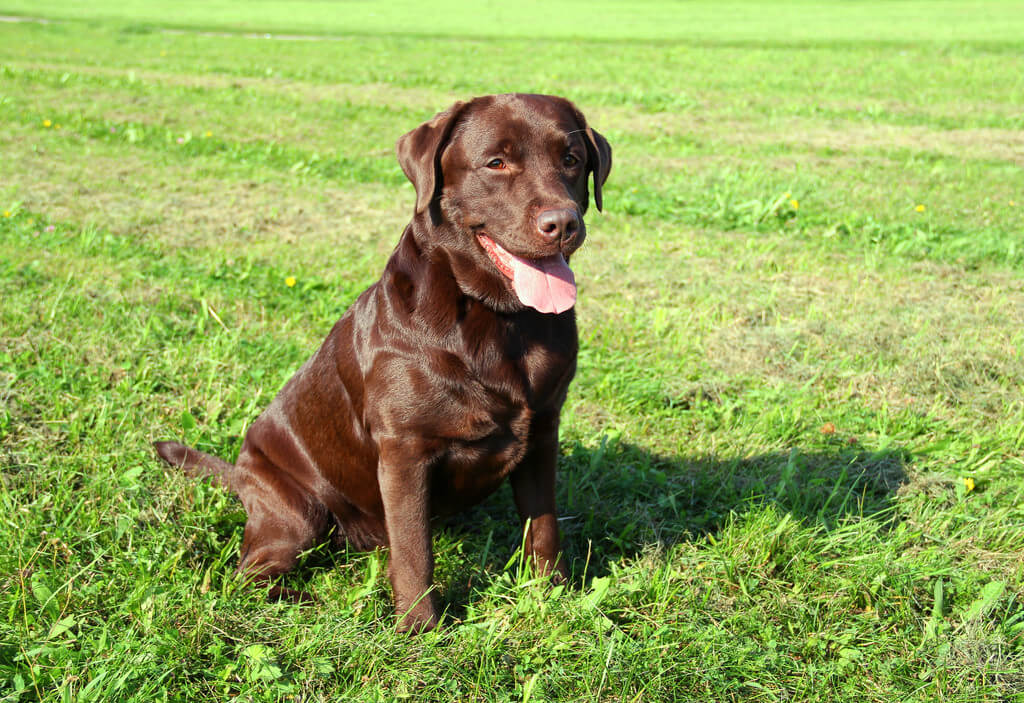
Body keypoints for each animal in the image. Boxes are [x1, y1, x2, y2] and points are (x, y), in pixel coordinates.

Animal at [151, 93, 606, 634]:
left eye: (571, 159)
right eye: (496, 162)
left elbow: (544, 525)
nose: (563, 223)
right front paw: (419, 626)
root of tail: (240, 474)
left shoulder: (542, 430)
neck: (501, 320)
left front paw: (552, 596)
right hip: (294, 508)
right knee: (251, 572)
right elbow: (414, 550)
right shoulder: (404, 451)